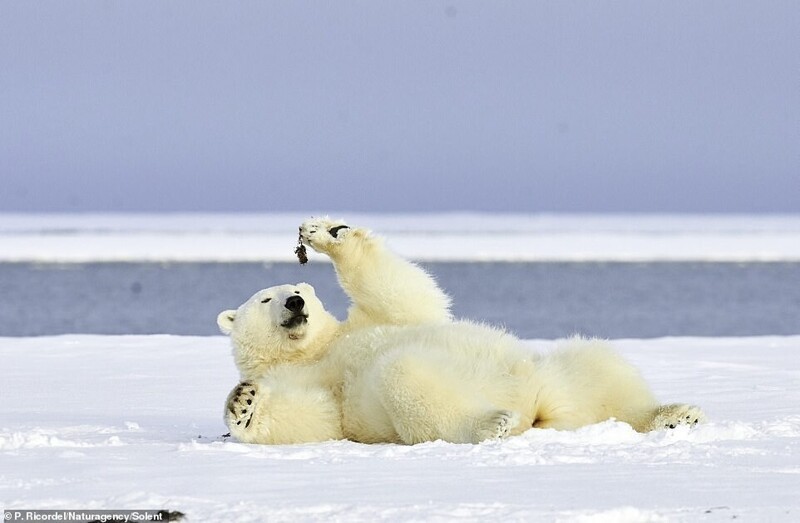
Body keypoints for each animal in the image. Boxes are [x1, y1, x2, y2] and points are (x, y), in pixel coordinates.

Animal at [219, 219, 708, 444]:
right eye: (265, 300)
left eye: (301, 288)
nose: (295, 303)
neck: (315, 350)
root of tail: (542, 414)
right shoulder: (311, 383)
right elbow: (313, 417)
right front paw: (243, 402)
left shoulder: (370, 323)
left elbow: (406, 297)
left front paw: (327, 232)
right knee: (405, 375)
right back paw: (492, 422)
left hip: (554, 372)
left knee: (601, 365)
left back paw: (676, 415)